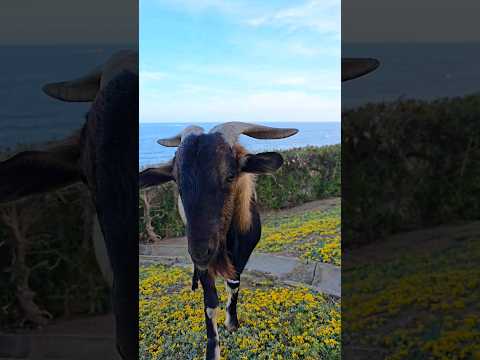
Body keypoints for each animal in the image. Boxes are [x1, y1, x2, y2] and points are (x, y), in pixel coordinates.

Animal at [138, 123, 296, 360]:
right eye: (176, 180)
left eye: (230, 176)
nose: (200, 251)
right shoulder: (205, 264)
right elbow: (211, 303)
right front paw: (212, 350)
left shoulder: (245, 251)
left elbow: (234, 283)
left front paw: (232, 323)